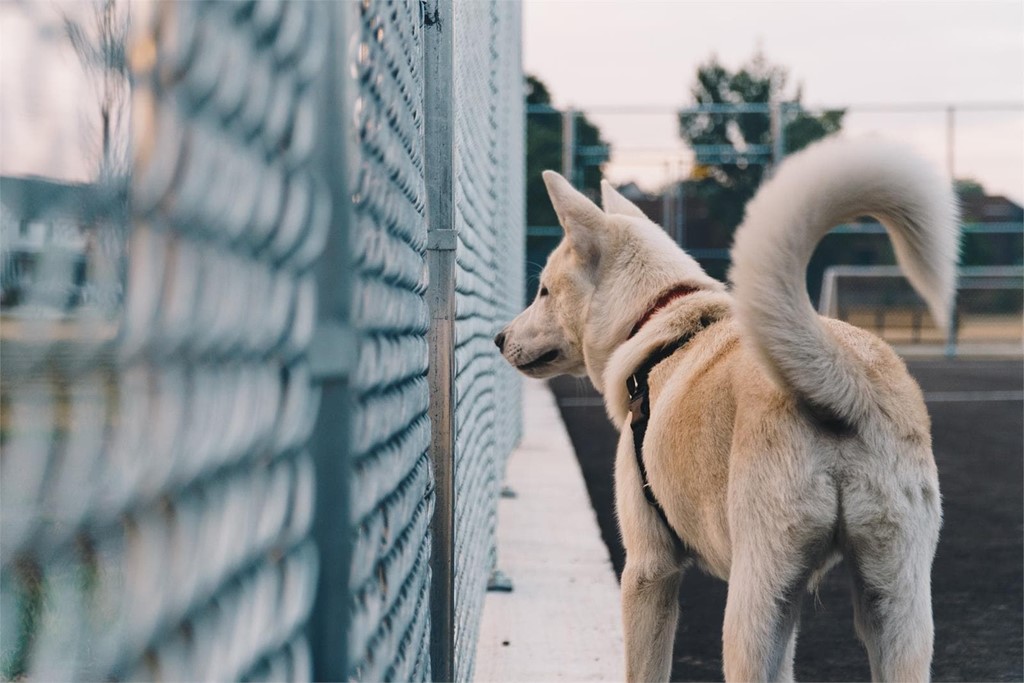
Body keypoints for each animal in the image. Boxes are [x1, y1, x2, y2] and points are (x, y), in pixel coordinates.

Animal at [495, 136, 958, 679]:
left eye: (544, 290)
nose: (498, 338)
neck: (658, 320)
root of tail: (844, 377)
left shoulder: (649, 569)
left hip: (754, 604)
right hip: (892, 603)